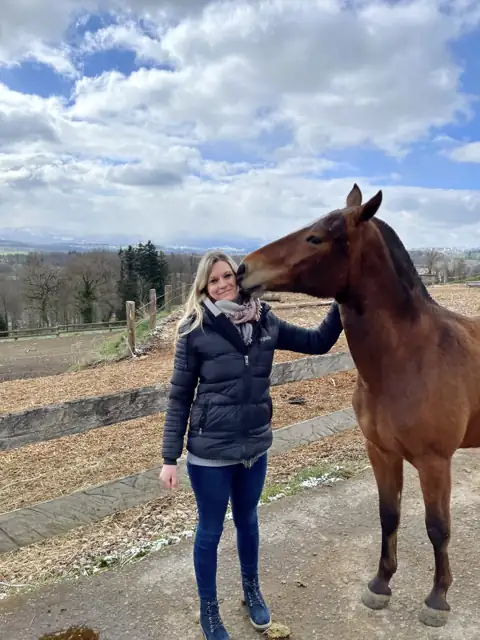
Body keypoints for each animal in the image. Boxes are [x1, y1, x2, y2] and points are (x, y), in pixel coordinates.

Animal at [236, 184, 480, 628]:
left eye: (315, 238)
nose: (243, 269)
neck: (410, 357)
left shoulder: (435, 462)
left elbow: (438, 527)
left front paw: (437, 598)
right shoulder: (381, 452)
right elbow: (389, 515)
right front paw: (380, 584)